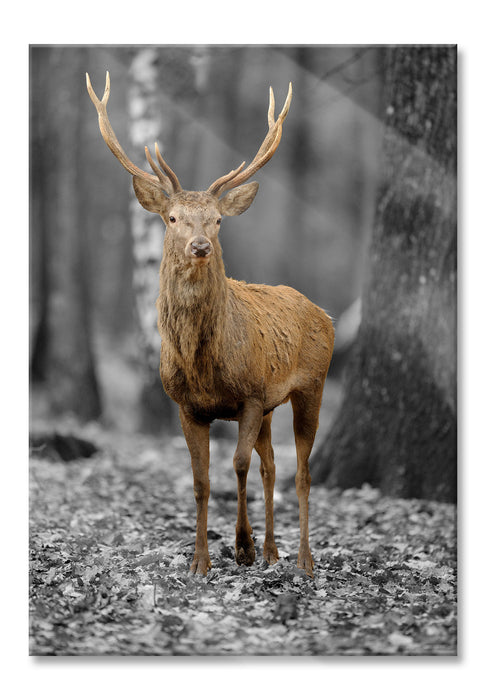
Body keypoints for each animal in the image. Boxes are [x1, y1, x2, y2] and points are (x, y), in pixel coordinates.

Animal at [86, 71, 334, 576]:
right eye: (172, 217)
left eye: (217, 219)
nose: (199, 246)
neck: (204, 364)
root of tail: (326, 314)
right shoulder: (188, 405)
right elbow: (200, 480)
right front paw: (200, 561)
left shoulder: (251, 394)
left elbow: (236, 465)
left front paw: (241, 547)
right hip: (274, 405)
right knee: (272, 466)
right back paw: (274, 551)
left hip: (311, 385)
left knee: (300, 471)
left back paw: (302, 559)